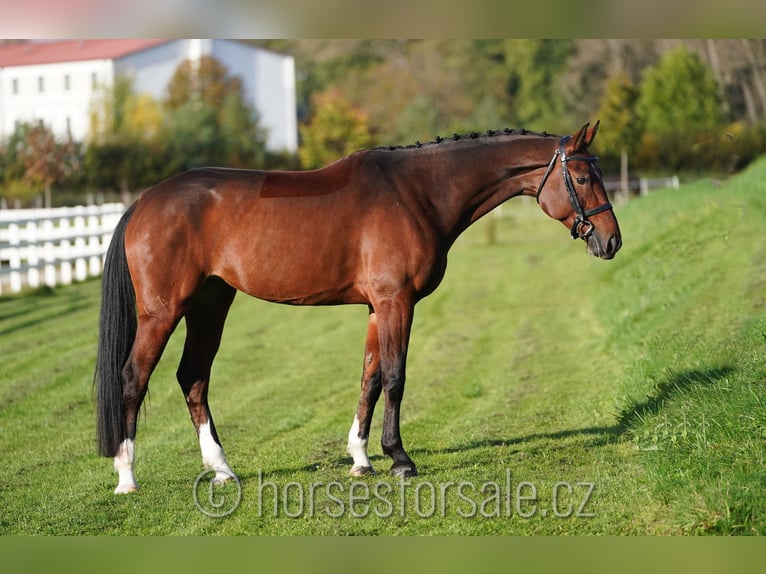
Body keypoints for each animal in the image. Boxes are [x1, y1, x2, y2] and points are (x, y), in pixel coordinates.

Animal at [96, 121, 624, 496]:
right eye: (582, 176)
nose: (611, 240)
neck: (418, 192)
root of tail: (144, 202)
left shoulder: (377, 307)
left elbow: (370, 377)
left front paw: (362, 459)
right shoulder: (396, 302)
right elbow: (395, 376)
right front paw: (400, 459)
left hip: (210, 303)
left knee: (193, 377)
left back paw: (222, 469)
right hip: (164, 311)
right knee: (133, 377)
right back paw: (127, 477)